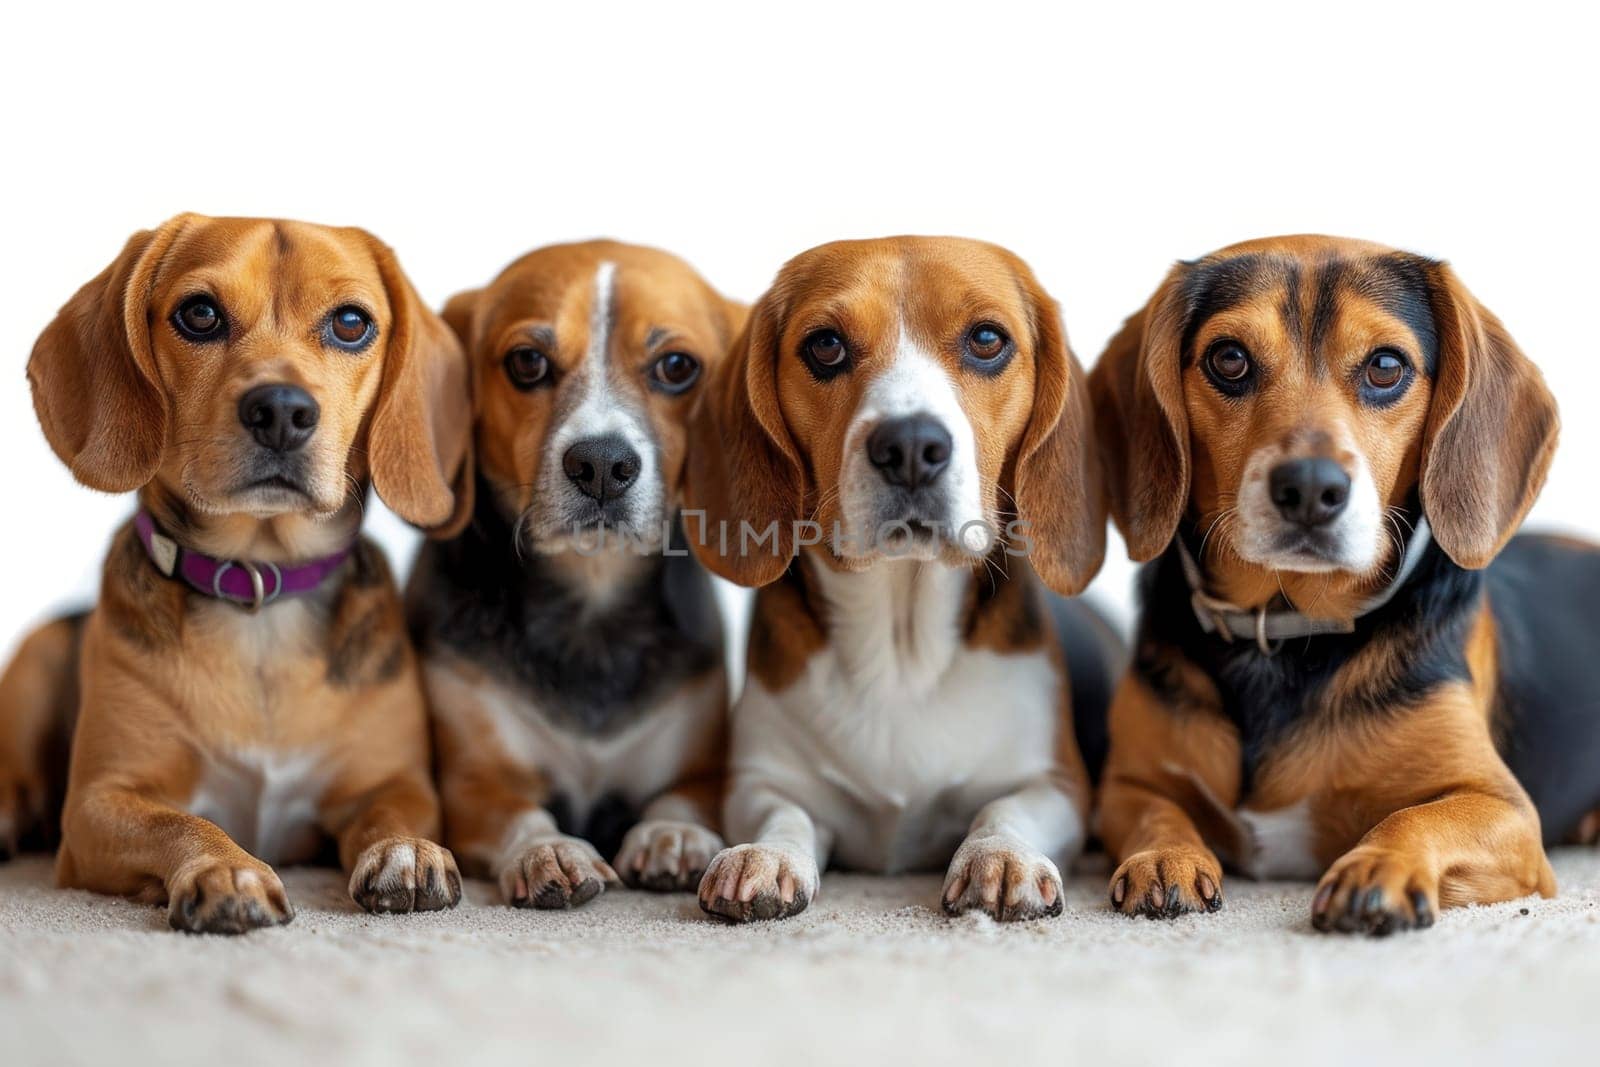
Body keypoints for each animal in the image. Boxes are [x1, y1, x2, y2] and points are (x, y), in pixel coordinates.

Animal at [409, 241, 739, 908]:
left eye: (676, 367)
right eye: (528, 361)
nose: (602, 464)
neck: (592, 603)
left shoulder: (706, 771)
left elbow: (683, 801)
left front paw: (673, 837)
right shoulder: (475, 784)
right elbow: (524, 816)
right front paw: (551, 852)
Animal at [681, 238, 1120, 921]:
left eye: (987, 339)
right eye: (825, 345)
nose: (910, 445)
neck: (900, 651)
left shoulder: (1056, 785)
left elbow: (1005, 809)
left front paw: (1000, 856)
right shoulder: (760, 780)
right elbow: (786, 815)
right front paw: (766, 856)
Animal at [1094, 235, 1593, 934]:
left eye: (1386, 366)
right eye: (1229, 359)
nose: (1309, 487)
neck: (1284, 630)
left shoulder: (1504, 808)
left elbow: (1415, 816)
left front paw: (1378, 866)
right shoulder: (1124, 785)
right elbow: (1155, 811)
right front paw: (1164, 855)